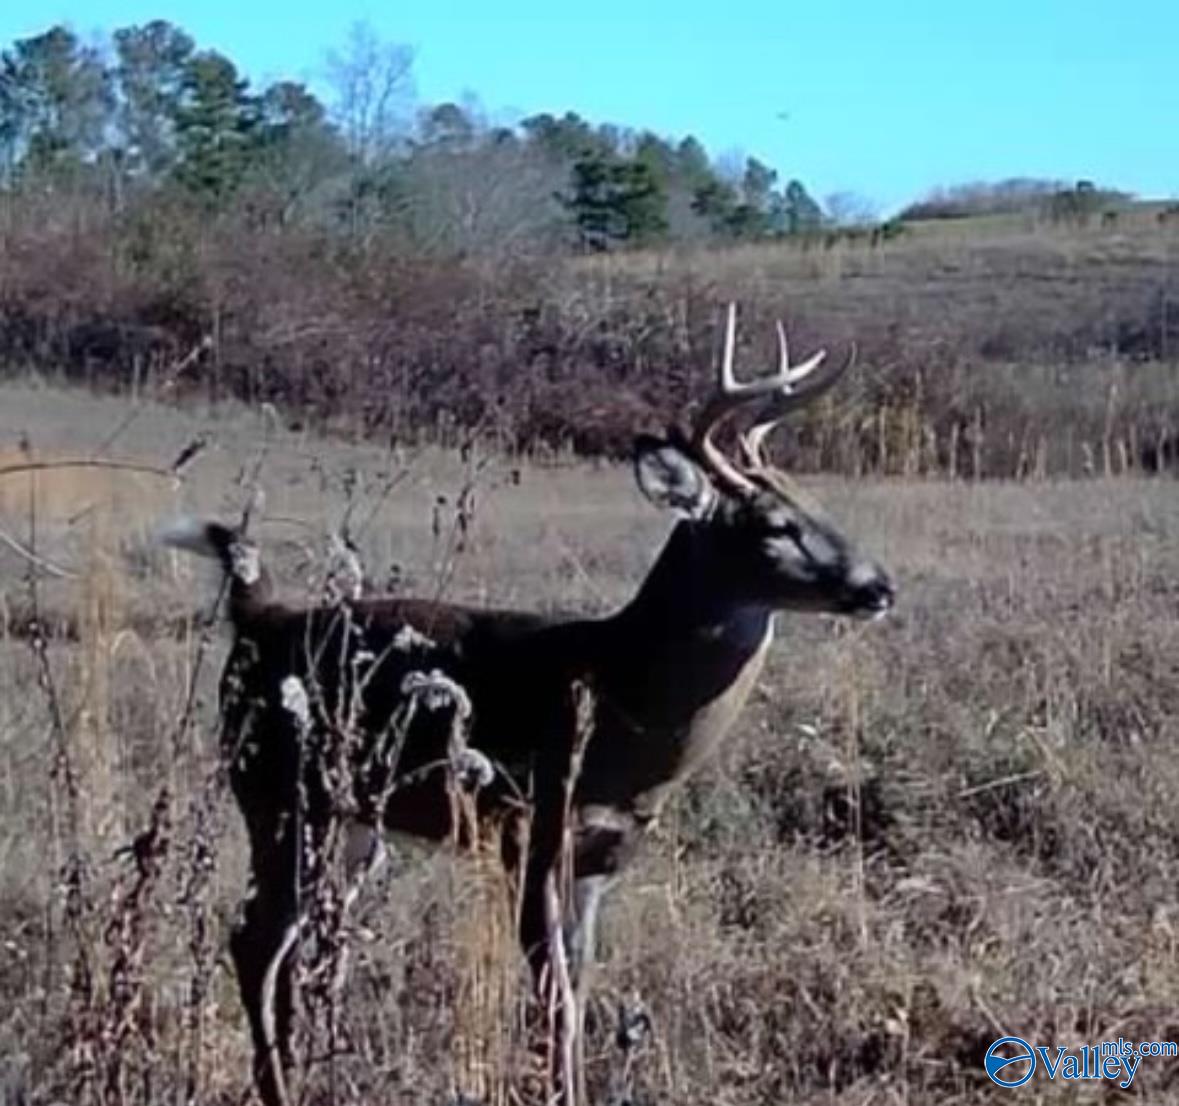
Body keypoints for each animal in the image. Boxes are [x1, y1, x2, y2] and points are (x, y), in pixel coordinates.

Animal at [161, 301, 886, 1103]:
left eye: (816, 504)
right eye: (775, 526)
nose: (877, 586)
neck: (622, 694)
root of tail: (258, 617)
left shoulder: (602, 856)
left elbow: (579, 992)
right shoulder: (534, 827)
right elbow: (554, 999)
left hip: (353, 822)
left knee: (305, 945)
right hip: (279, 793)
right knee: (255, 938)